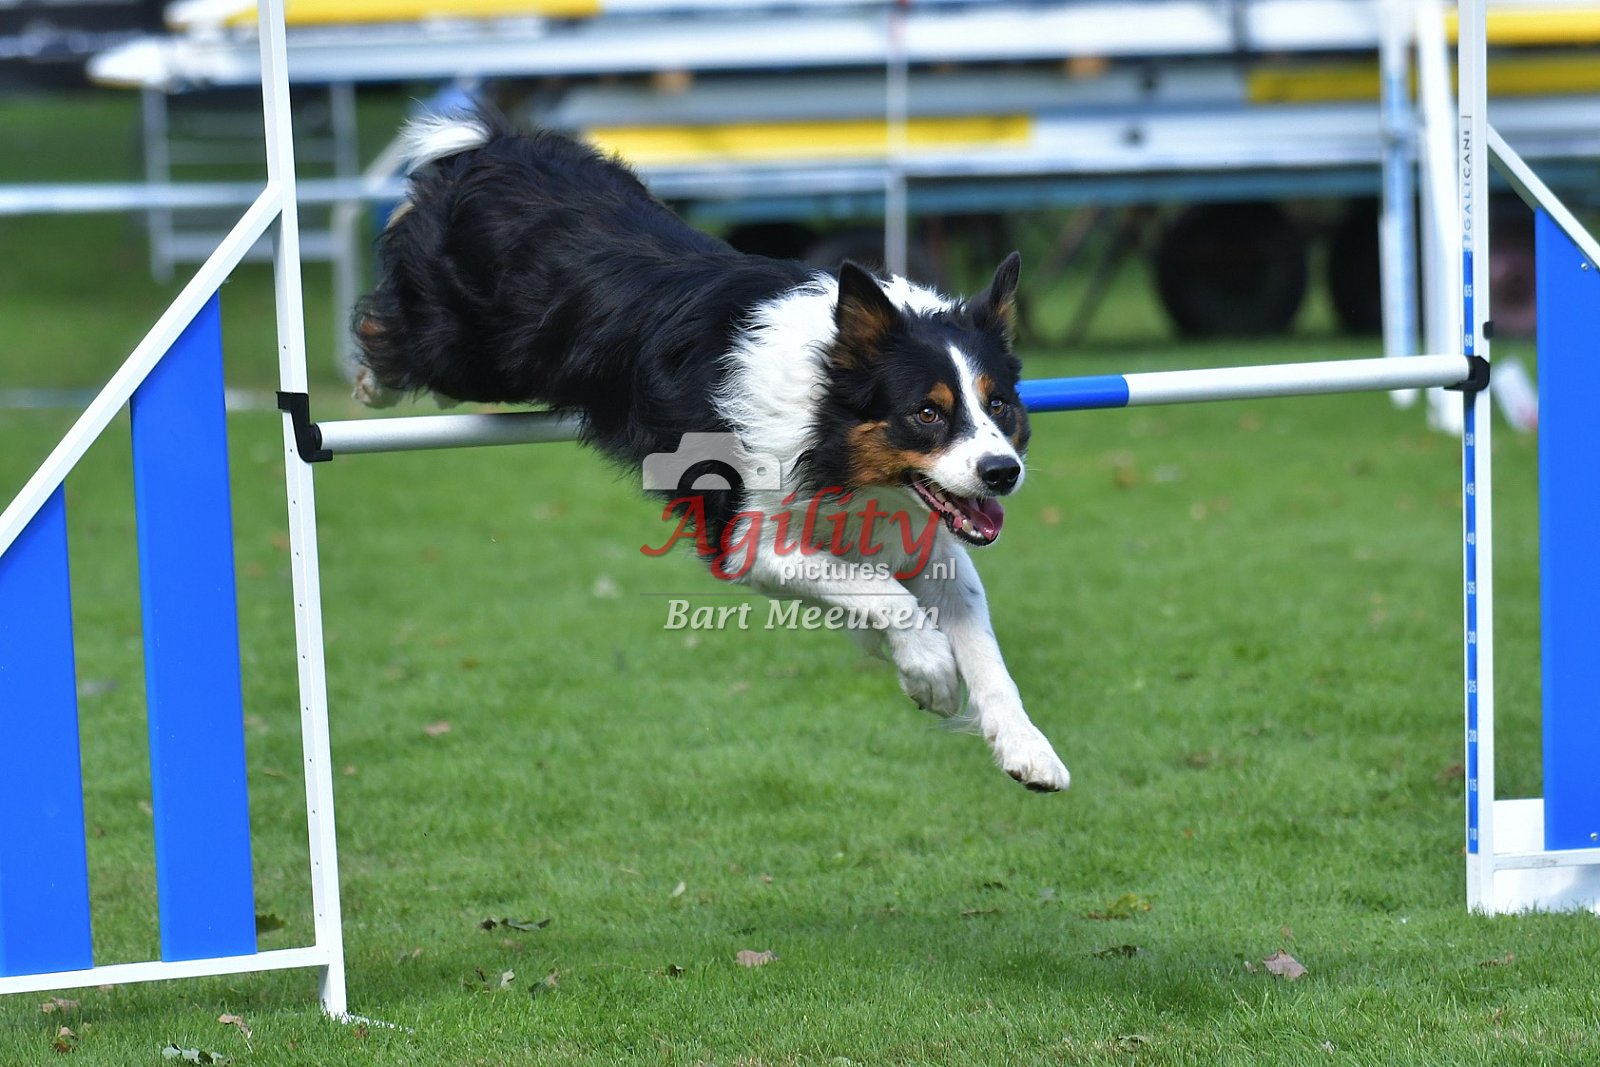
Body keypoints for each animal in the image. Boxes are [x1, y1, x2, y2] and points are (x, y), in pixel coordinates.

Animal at [353, 110, 1070, 792]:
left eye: (1000, 405)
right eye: (927, 413)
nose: (1002, 473)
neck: (826, 422)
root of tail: (497, 146)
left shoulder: (922, 531)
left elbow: (978, 638)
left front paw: (1027, 748)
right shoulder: (746, 538)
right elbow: (882, 591)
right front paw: (929, 672)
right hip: (463, 352)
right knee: (390, 323)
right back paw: (369, 378)